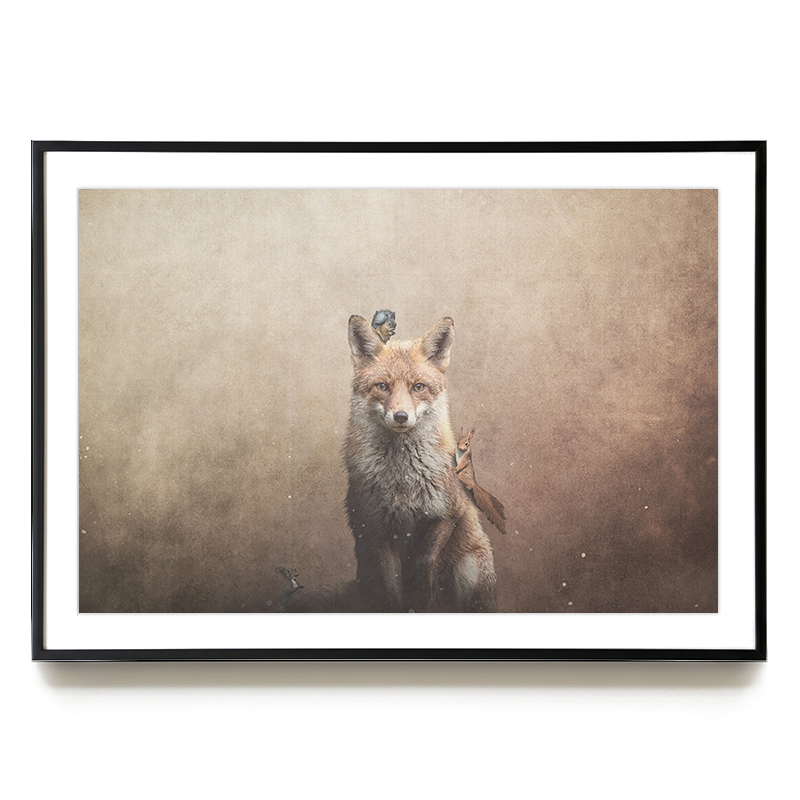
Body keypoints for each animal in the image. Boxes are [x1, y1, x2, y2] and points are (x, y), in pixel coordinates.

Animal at [344, 315, 497, 612]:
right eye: (382, 386)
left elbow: (423, 561)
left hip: (468, 570)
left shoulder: (447, 513)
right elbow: (390, 583)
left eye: (418, 387)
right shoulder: (375, 526)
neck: (403, 481)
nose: (401, 416)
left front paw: (422, 596)